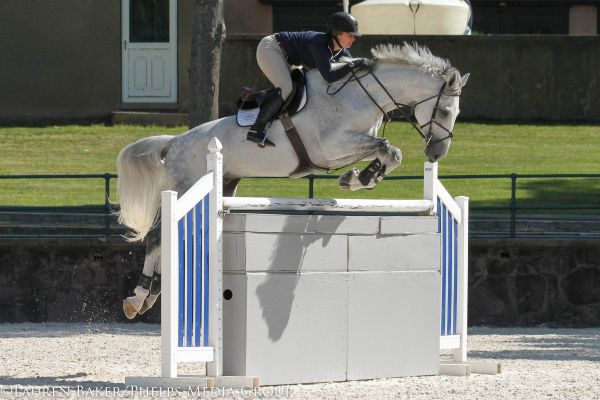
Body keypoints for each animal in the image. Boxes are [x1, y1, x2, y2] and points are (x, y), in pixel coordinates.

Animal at [117, 43, 472, 318]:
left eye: (455, 113)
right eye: (444, 112)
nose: (437, 153)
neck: (363, 94)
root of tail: (174, 142)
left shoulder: (348, 147)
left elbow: (389, 153)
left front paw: (360, 178)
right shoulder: (331, 147)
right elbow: (388, 148)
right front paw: (360, 178)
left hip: (224, 184)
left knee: (172, 238)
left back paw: (150, 296)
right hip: (184, 186)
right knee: (156, 237)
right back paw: (138, 297)